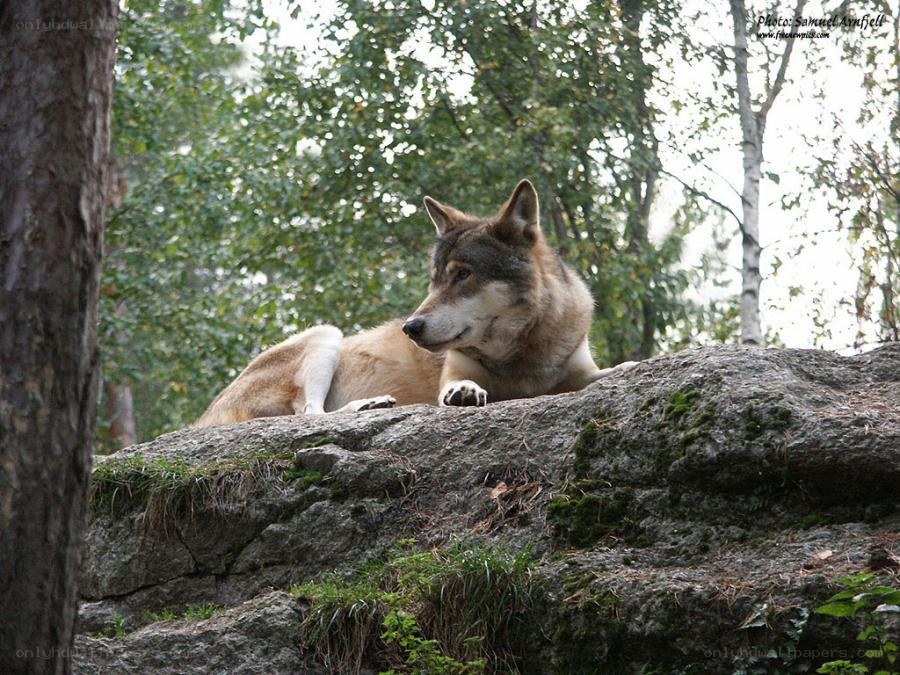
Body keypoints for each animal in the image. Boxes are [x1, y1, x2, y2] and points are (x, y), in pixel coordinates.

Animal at [193, 179, 635, 427]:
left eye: (462, 275)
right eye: (434, 278)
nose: (411, 327)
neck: (522, 360)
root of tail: (203, 416)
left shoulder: (578, 369)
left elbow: (606, 373)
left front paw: (629, 366)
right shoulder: (455, 371)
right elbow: (459, 384)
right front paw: (464, 393)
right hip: (326, 335)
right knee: (308, 414)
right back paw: (369, 405)